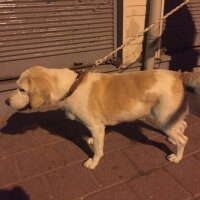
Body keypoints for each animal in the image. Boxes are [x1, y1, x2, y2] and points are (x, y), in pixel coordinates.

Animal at [5, 66, 199, 169]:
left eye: (22, 89)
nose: (6, 101)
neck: (71, 87)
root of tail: (177, 74)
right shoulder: (95, 128)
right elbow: (95, 140)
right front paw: (91, 140)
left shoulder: (97, 127)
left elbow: (98, 150)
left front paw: (93, 162)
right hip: (163, 118)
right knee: (182, 125)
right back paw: (172, 141)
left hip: (162, 119)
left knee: (183, 139)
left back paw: (177, 157)